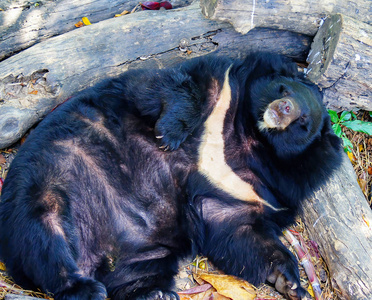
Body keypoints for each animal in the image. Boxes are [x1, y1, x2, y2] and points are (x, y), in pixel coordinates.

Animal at [0, 54, 342, 300]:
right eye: (284, 88)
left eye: (303, 122)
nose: (283, 108)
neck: (248, 138)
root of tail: (93, 254)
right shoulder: (221, 84)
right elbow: (166, 87)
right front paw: (169, 134)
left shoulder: (252, 190)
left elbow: (239, 232)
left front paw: (291, 282)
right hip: (46, 178)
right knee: (43, 236)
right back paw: (82, 287)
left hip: (146, 248)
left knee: (137, 271)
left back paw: (156, 294)